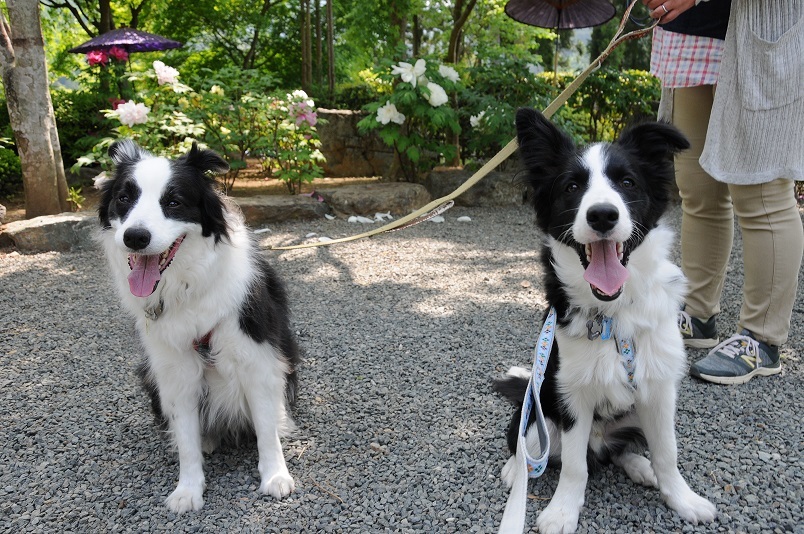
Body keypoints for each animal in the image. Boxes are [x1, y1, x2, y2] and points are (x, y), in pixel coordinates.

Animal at [97, 141, 298, 516]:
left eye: (174, 201)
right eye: (124, 198)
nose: (135, 237)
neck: (190, 286)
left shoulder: (256, 358)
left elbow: (265, 429)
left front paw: (276, 477)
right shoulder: (174, 370)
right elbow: (186, 440)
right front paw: (188, 490)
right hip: (150, 375)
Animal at [494, 110, 720, 534]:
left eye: (627, 182)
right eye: (572, 186)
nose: (602, 214)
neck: (614, 315)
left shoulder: (660, 389)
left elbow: (667, 452)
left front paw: (683, 499)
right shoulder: (571, 393)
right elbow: (574, 467)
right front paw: (562, 513)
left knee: (621, 450)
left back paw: (640, 466)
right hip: (538, 406)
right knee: (529, 445)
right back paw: (516, 471)